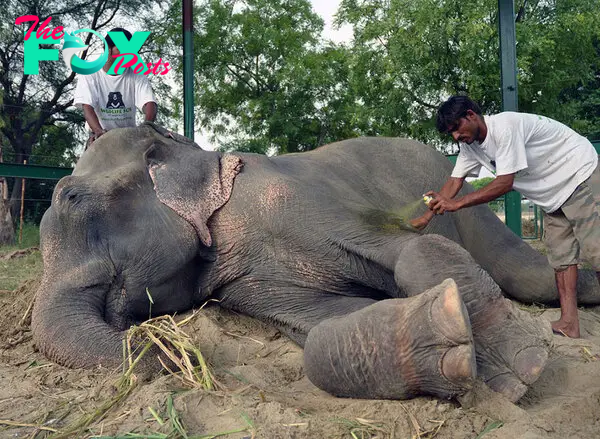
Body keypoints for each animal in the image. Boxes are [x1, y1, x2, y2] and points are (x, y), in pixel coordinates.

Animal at [31, 122, 600, 404]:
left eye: (71, 198)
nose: (168, 355)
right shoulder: (247, 281)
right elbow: (323, 324)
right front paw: (448, 345)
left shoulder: (300, 199)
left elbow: (405, 247)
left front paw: (523, 370)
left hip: (472, 210)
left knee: (528, 274)